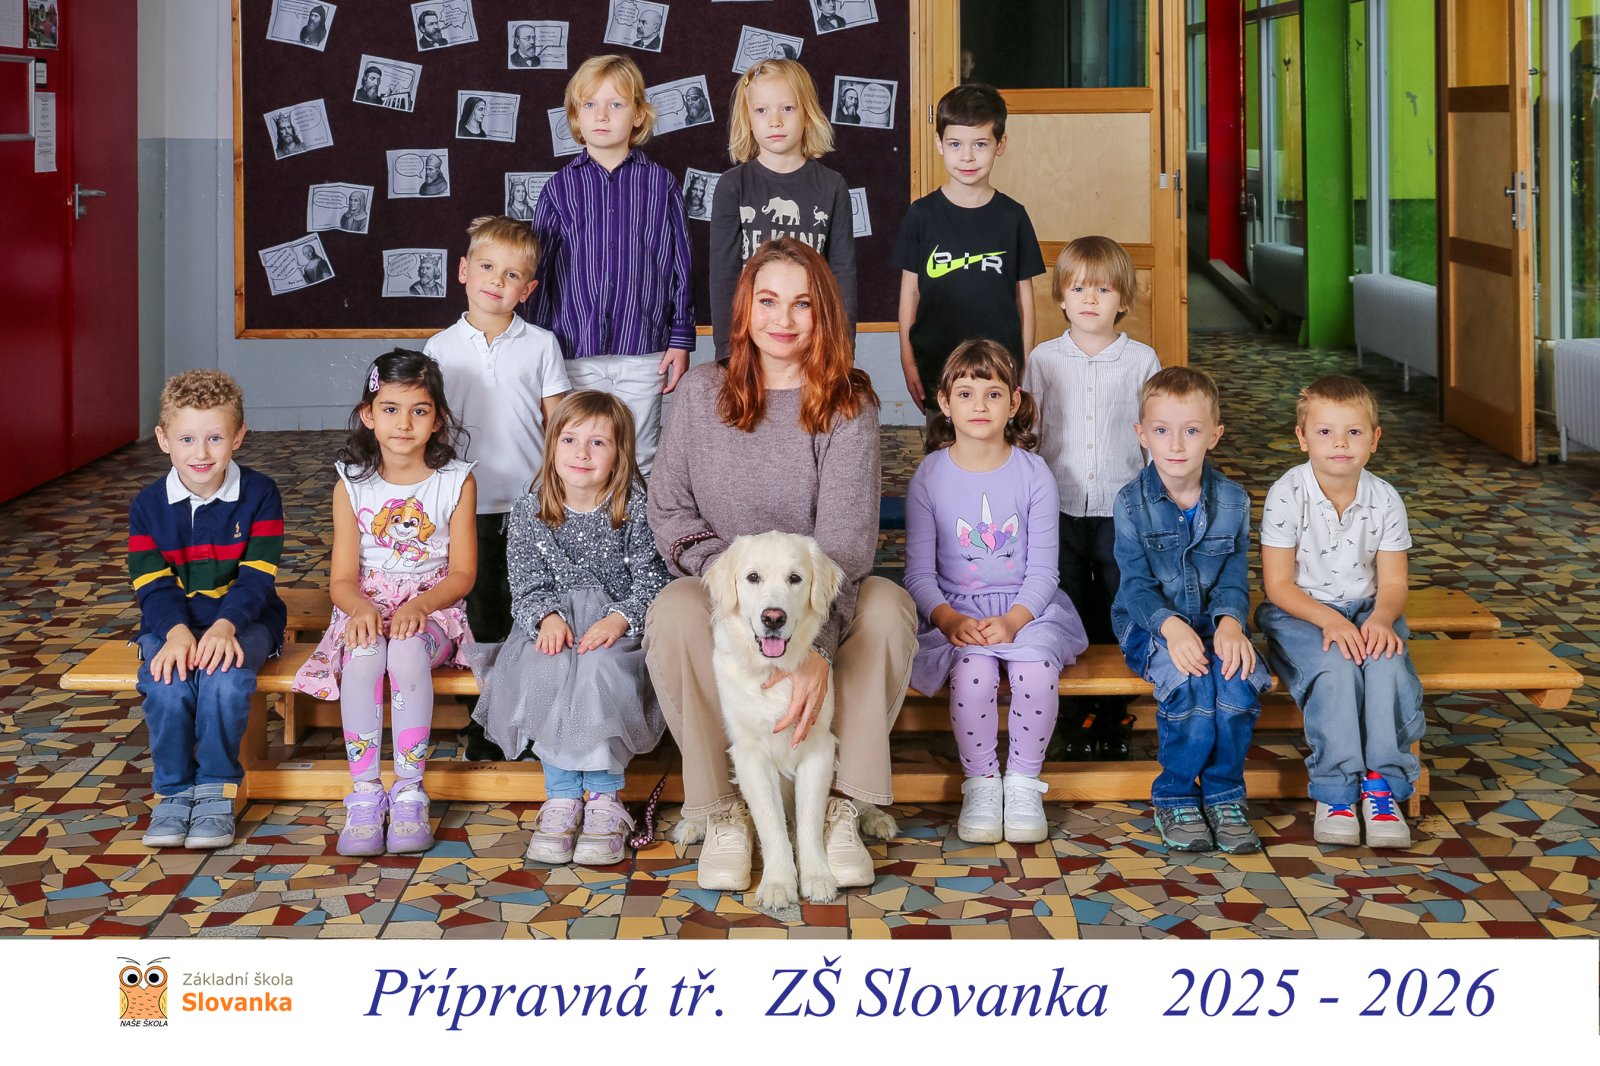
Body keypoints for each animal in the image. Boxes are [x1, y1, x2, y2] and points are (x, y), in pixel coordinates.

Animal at [689, 532, 885, 909]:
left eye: (795, 578)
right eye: (753, 577)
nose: (773, 618)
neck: (773, 671)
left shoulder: (817, 748)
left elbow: (809, 820)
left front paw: (817, 877)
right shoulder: (750, 755)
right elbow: (771, 823)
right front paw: (778, 883)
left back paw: (876, 815)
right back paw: (691, 824)